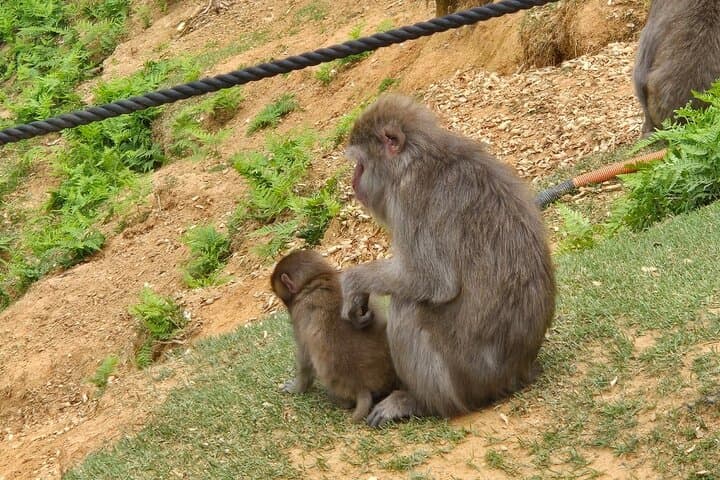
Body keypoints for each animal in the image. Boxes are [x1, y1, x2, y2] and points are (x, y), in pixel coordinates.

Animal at [340, 94, 556, 427]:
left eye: (360, 165)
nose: (353, 182)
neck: (414, 158)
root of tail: (517, 372)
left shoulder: (408, 197)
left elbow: (433, 281)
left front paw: (354, 281)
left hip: (464, 377)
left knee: (408, 306)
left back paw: (418, 402)